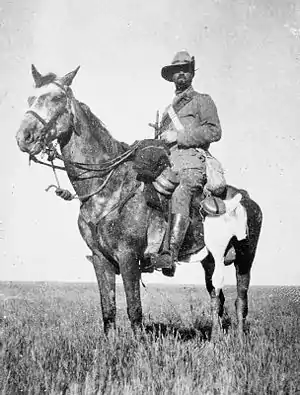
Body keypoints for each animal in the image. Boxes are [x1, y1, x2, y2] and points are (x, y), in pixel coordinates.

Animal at [15, 66, 262, 338]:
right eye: (30, 98)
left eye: (56, 98)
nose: (23, 137)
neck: (108, 189)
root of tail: (247, 198)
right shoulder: (100, 259)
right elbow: (108, 309)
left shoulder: (128, 257)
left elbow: (134, 309)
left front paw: (137, 345)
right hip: (210, 259)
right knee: (217, 298)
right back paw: (216, 339)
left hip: (245, 258)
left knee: (240, 298)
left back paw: (238, 339)